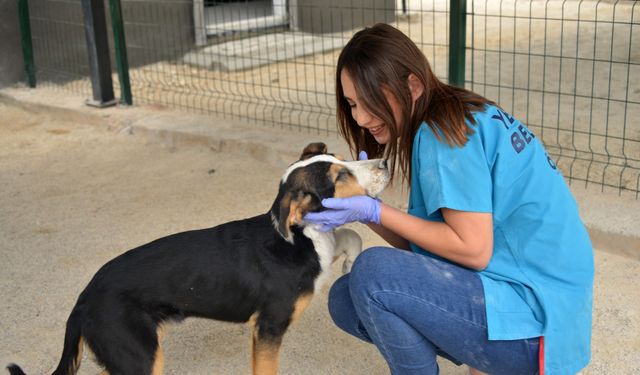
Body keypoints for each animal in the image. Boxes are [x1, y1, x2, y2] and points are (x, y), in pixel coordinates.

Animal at [7, 143, 390, 375]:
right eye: (340, 176)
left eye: (343, 159)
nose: (385, 163)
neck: (300, 238)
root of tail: (84, 296)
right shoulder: (268, 327)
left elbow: (349, 234)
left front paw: (350, 263)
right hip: (139, 357)